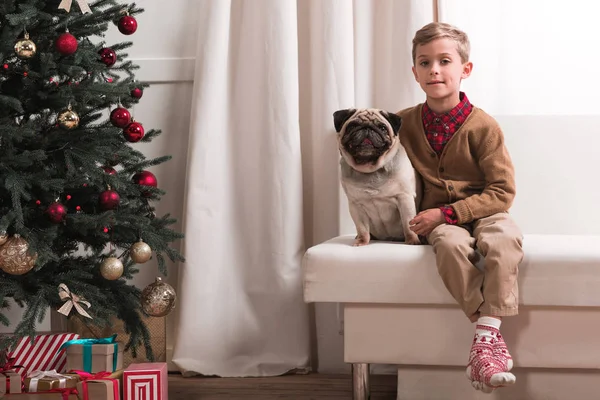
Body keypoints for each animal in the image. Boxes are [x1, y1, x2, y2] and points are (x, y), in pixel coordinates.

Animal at [336, 109, 420, 247]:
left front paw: (412, 241)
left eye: (382, 128)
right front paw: (361, 241)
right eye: (352, 126)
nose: (367, 128)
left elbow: (409, 224)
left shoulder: (404, 198)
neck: (370, 169)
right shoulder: (355, 205)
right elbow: (362, 228)